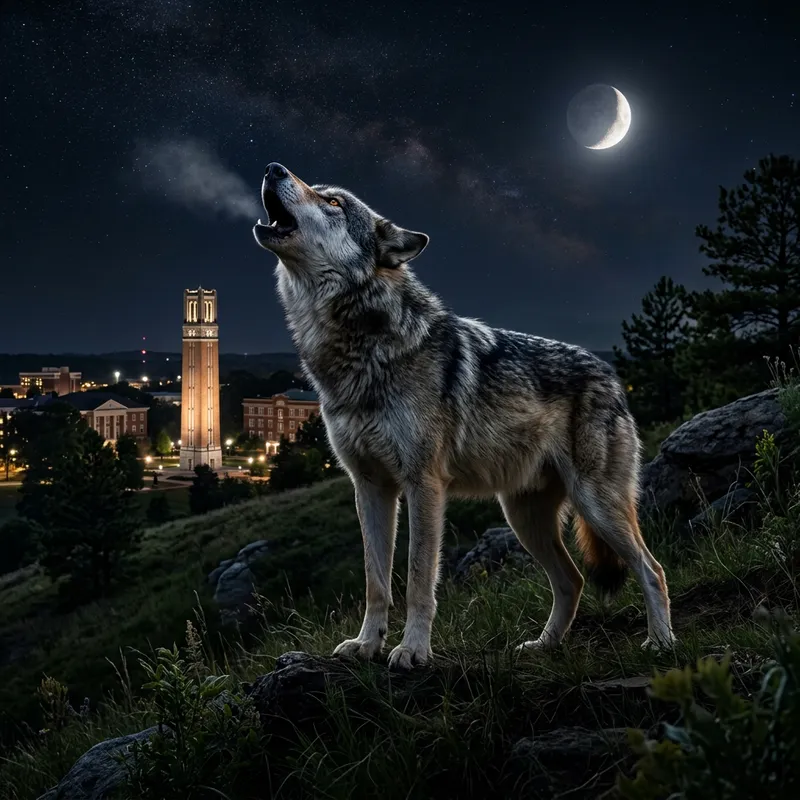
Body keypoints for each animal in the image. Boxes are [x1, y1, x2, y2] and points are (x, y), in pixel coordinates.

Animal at [252, 162, 675, 671]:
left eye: (333, 201)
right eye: (318, 190)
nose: (273, 168)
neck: (360, 348)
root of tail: (612, 374)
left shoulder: (423, 484)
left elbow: (417, 579)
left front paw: (413, 650)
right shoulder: (370, 487)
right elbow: (376, 582)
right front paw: (367, 645)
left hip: (596, 504)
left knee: (651, 568)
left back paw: (661, 643)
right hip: (524, 517)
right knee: (572, 580)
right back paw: (543, 646)